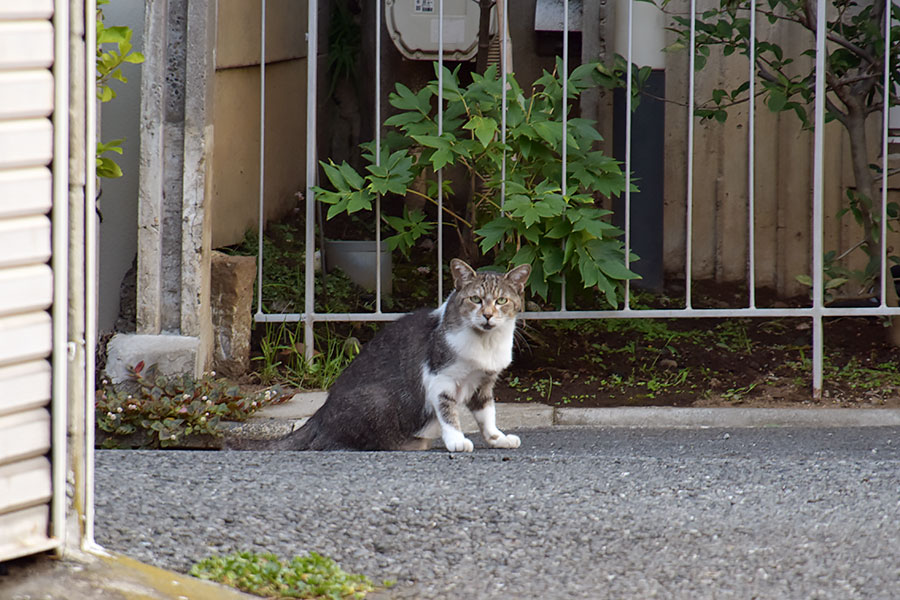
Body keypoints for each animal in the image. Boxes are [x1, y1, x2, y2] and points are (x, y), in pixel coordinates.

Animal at [270, 256, 532, 450]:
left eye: (501, 300)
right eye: (475, 299)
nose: (487, 315)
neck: (486, 344)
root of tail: (321, 413)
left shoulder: (483, 383)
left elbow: (487, 414)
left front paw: (497, 438)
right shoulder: (440, 379)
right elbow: (447, 411)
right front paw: (457, 440)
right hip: (377, 401)